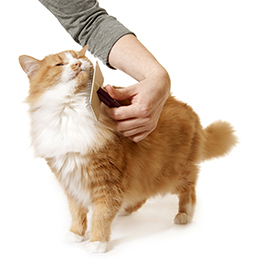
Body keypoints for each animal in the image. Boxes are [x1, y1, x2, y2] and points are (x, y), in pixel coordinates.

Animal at [19, 46, 237, 255]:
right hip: (148, 171)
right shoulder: (71, 179)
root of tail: (189, 110)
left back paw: (184, 214)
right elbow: (77, 212)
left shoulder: (107, 182)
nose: (78, 64)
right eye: (60, 64)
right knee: (144, 193)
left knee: (189, 190)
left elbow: (101, 216)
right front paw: (76, 234)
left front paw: (97, 242)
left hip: (173, 172)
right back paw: (126, 208)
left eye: (80, 58)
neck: (71, 110)